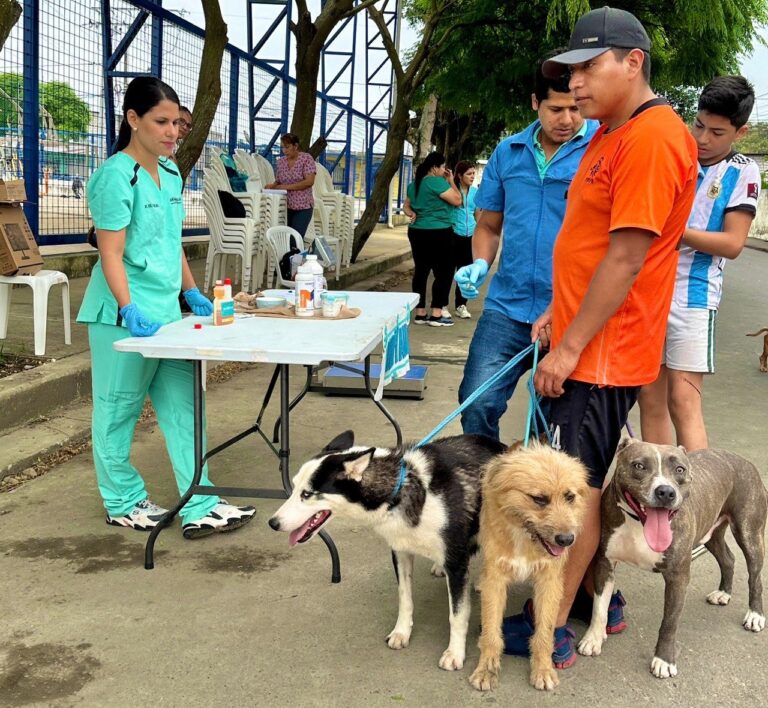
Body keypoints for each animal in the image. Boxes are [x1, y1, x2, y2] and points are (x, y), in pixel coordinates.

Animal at [268, 432, 508, 668]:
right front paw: (401, 632)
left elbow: (457, 614)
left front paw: (455, 653)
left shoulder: (456, 561)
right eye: (294, 488)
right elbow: (405, 599)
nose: (273, 523)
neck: (399, 490)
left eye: (307, 494)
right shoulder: (400, 553)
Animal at [468, 442, 588, 692]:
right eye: (539, 499)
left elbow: (545, 632)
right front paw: (486, 669)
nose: (566, 540)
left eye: (569, 496)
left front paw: (543, 669)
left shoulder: (549, 582)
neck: (525, 536)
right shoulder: (495, 580)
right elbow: (491, 632)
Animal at [580, 440, 764, 676]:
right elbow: (599, 607)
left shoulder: (678, 577)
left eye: (679, 470)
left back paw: (755, 615)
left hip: (750, 534)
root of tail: (743, 460)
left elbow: (669, 622)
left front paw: (664, 660)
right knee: (728, 559)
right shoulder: (604, 564)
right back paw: (723, 593)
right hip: (711, 533)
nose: (666, 492)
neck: (638, 522)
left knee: (755, 577)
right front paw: (593, 638)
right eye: (639, 466)